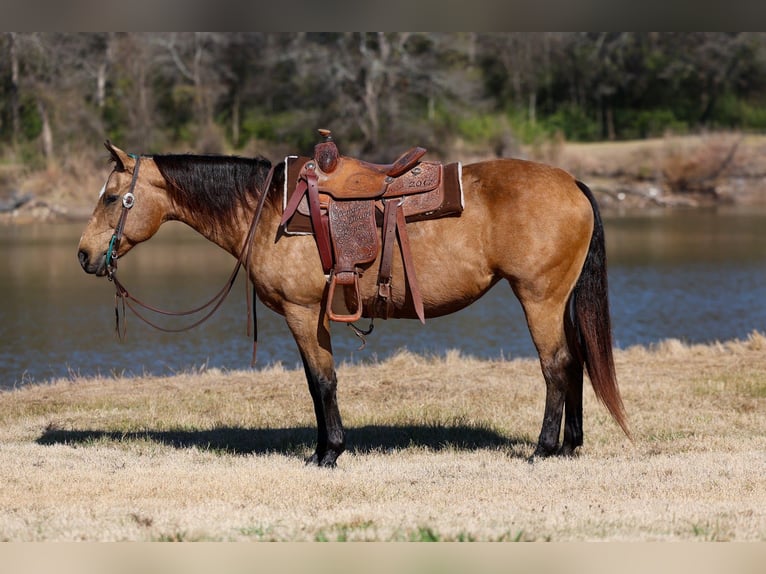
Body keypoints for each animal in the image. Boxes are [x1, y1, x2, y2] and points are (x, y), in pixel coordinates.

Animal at [77, 141, 630, 467]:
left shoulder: (302, 312)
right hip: (558, 301)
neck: (270, 211)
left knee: (556, 366)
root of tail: (573, 183)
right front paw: (324, 448)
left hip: (539, 297)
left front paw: (328, 454)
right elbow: (317, 381)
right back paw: (571, 446)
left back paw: (544, 449)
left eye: (111, 197)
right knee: (575, 363)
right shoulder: (313, 316)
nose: (84, 255)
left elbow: (322, 381)